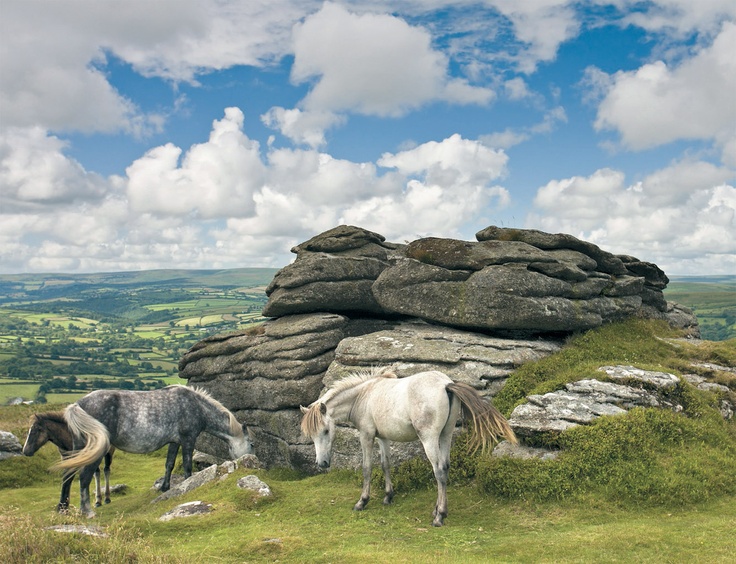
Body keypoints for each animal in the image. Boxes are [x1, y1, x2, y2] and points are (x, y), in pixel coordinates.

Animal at [53, 386, 252, 516]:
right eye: (251, 443)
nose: (251, 461)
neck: (196, 406)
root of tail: (78, 404)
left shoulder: (174, 442)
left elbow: (169, 464)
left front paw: (165, 488)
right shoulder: (188, 440)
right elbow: (187, 467)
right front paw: (188, 486)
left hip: (79, 448)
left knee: (68, 474)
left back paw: (63, 507)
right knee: (84, 477)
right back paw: (87, 511)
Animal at [300, 368, 516, 528]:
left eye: (326, 431)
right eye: (311, 435)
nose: (322, 463)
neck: (364, 395)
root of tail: (446, 384)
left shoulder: (366, 436)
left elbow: (367, 468)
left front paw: (362, 501)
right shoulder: (383, 438)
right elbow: (385, 465)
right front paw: (388, 496)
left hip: (429, 439)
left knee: (439, 471)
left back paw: (439, 516)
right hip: (445, 436)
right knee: (445, 467)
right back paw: (437, 510)